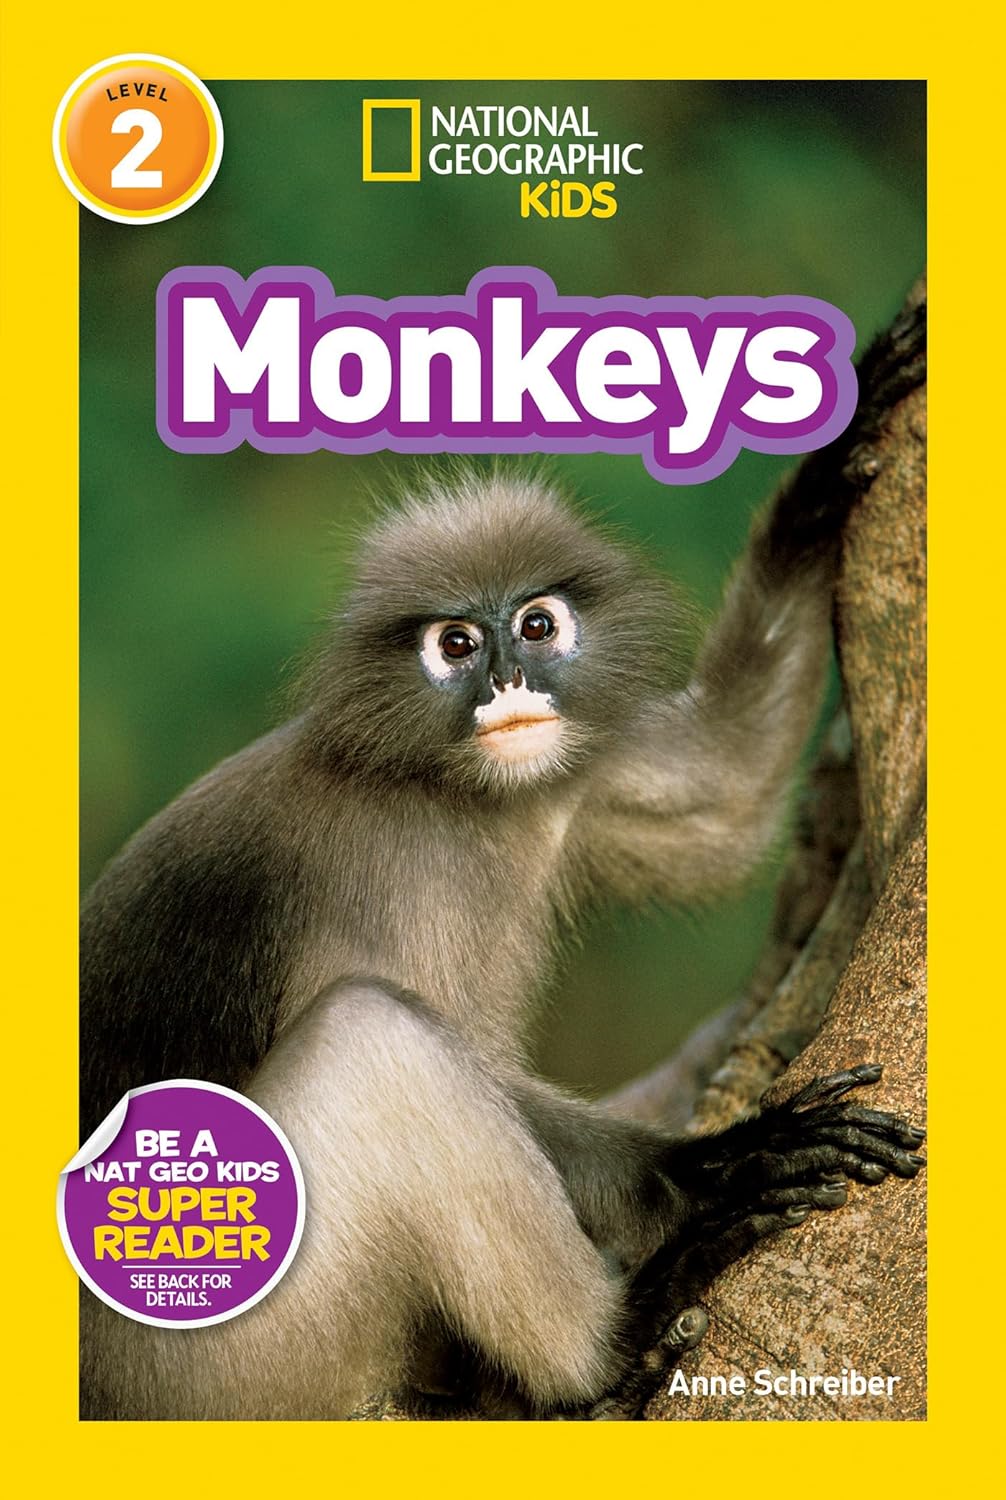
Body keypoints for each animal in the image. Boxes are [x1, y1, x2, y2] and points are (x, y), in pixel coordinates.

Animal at [79, 305, 927, 1421]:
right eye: (455, 643)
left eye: (534, 625)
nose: (510, 683)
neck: (454, 799)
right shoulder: (381, 885)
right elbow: (463, 1061)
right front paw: (711, 1169)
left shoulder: (566, 779)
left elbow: (724, 792)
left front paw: (828, 467)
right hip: (224, 1358)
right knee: (375, 1041)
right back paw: (607, 1350)